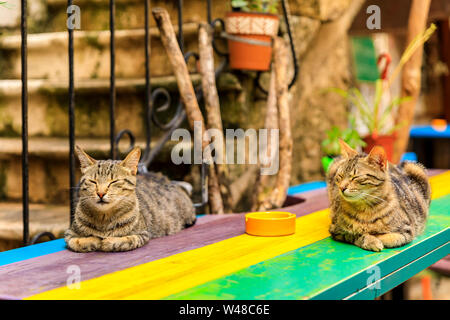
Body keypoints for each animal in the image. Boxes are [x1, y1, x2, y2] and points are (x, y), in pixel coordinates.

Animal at [64, 145, 195, 252]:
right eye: (93, 181)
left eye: (114, 181)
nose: (100, 193)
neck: (104, 218)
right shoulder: (69, 234)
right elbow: (77, 241)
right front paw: (93, 240)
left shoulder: (142, 234)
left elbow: (126, 240)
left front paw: (108, 241)